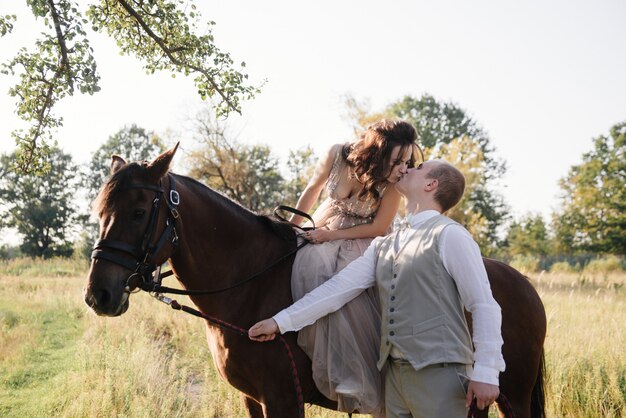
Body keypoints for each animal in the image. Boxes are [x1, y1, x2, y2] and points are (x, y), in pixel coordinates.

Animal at [85, 145, 544, 418]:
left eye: (139, 212)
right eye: (100, 210)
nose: (98, 295)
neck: (249, 287)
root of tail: (523, 284)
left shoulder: (282, 400)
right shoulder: (252, 399)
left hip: (512, 396)